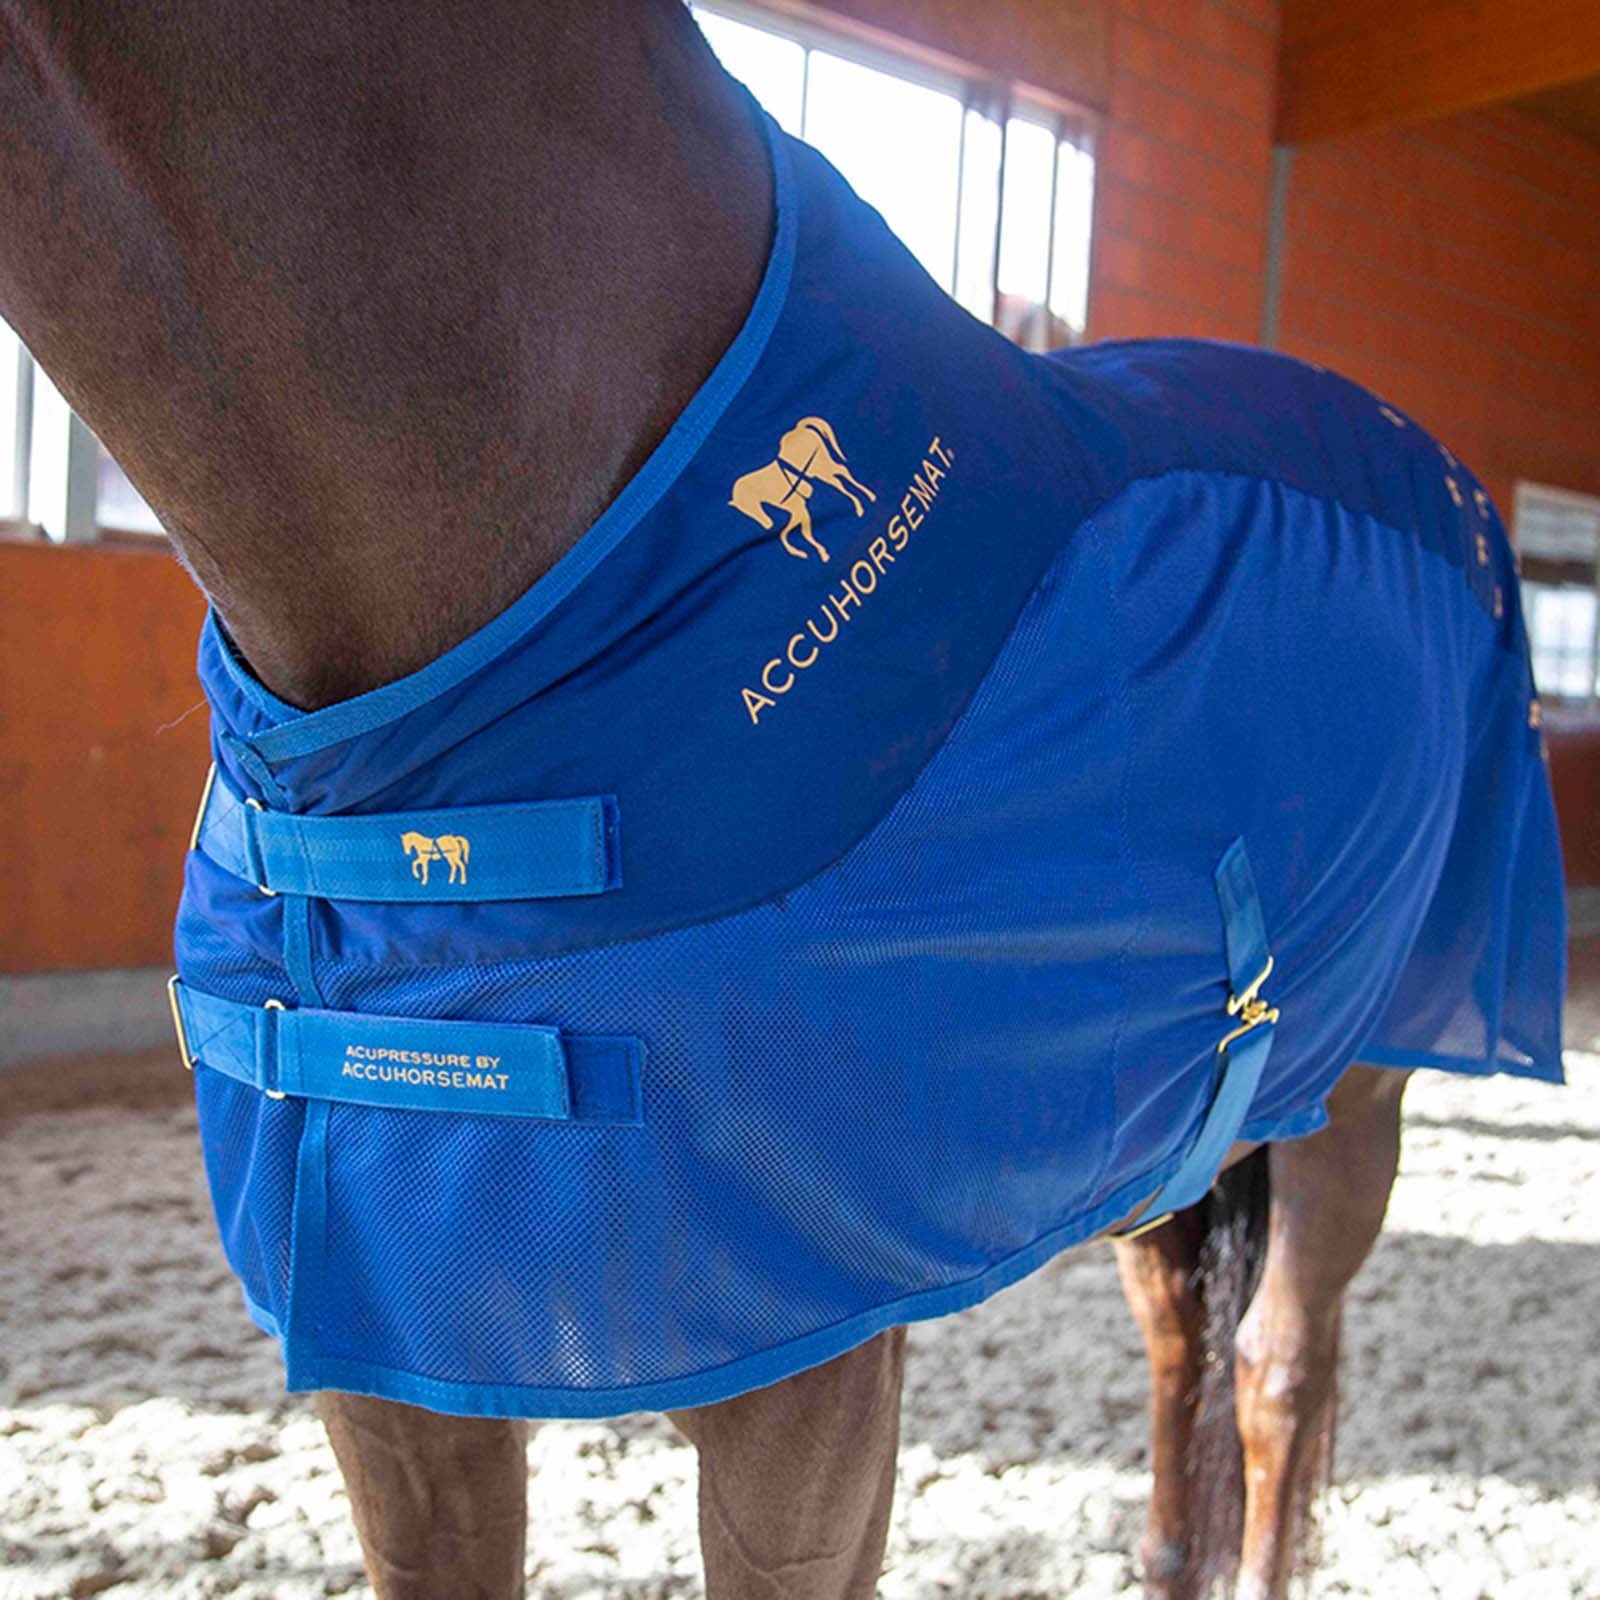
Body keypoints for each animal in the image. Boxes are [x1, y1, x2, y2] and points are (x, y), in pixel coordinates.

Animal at [0, 5, 1560, 1599]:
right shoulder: (397, 1385)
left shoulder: (809, 1402)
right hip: (1185, 1134)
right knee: (1187, 1353)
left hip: (1356, 1096)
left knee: (1275, 1374)